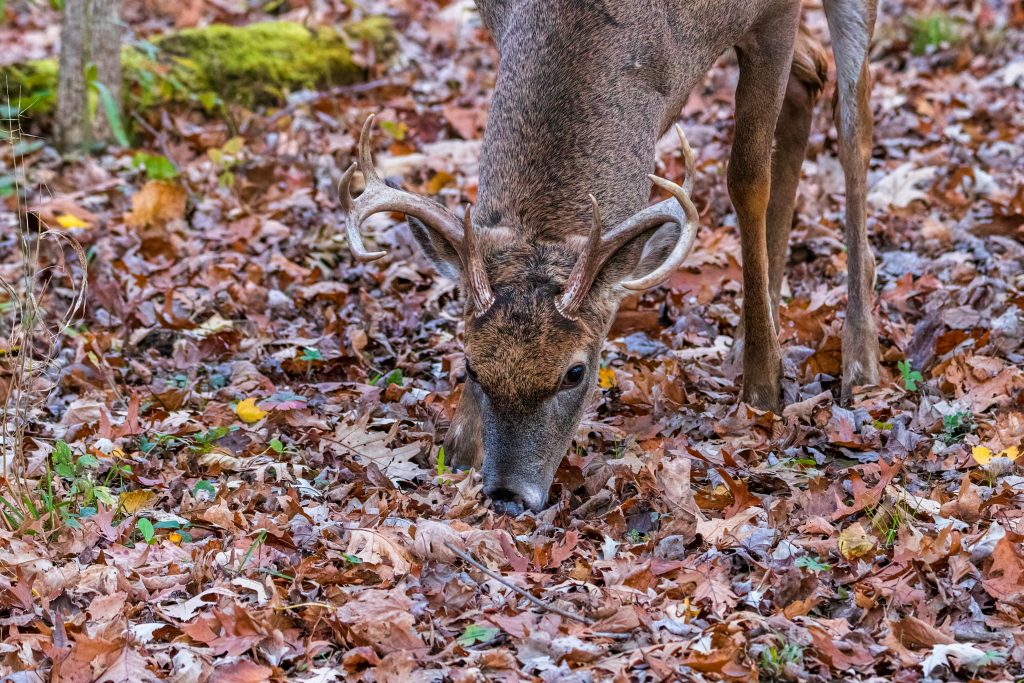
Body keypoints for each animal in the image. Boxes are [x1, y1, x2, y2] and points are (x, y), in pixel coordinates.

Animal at [341, 0, 881, 515]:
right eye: (471, 367)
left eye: (575, 372)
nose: (508, 494)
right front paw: (461, 445)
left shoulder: (773, 14)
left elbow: (747, 178)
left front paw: (763, 391)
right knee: (812, 73)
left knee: (853, 120)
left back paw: (860, 359)